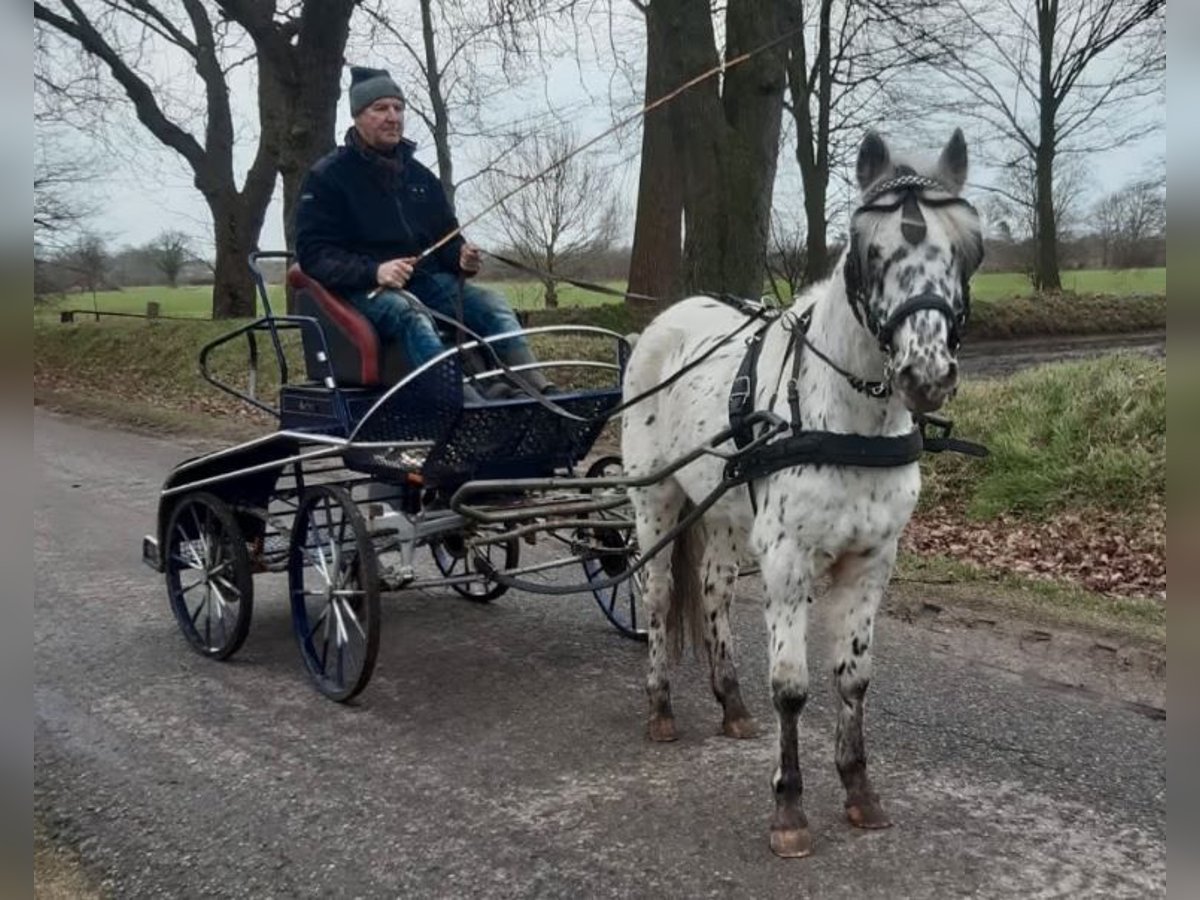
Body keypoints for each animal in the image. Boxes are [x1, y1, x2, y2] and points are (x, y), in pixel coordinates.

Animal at [619, 128, 984, 859]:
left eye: (967, 249)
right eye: (870, 251)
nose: (926, 373)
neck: (844, 418)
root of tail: (668, 317)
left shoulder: (872, 560)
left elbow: (855, 677)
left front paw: (859, 790)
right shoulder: (788, 560)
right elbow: (792, 687)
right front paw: (788, 807)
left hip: (724, 512)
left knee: (712, 590)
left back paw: (730, 703)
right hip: (657, 501)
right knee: (659, 594)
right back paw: (661, 706)